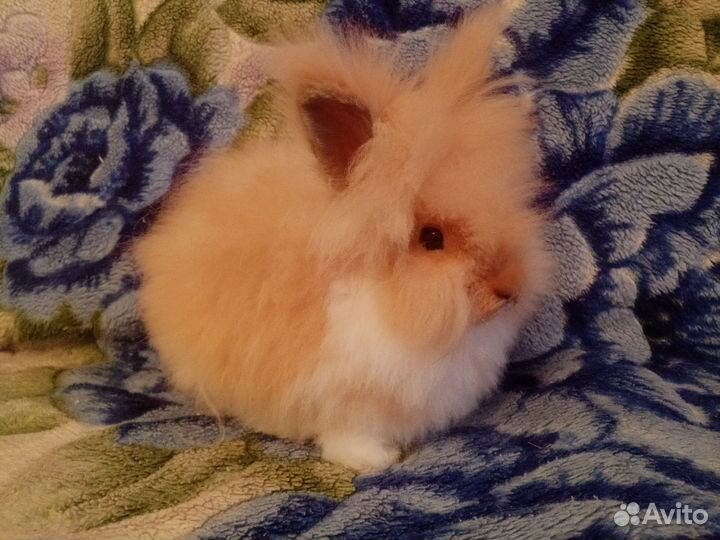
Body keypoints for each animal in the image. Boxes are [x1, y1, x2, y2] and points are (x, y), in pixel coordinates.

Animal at [134, 2, 552, 472]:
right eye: (431, 238)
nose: (510, 287)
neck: (382, 300)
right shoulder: (336, 392)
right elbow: (347, 432)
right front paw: (375, 460)